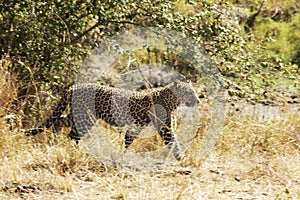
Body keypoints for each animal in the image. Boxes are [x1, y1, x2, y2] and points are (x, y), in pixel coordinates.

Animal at [25, 79, 199, 159]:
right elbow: (173, 141)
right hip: (85, 118)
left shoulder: (138, 127)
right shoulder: (164, 128)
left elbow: (128, 140)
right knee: (72, 135)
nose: (198, 100)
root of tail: (73, 87)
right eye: (189, 92)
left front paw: (123, 154)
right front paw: (181, 158)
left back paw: (55, 139)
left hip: (78, 115)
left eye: (194, 91)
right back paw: (75, 151)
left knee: (60, 120)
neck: (171, 101)